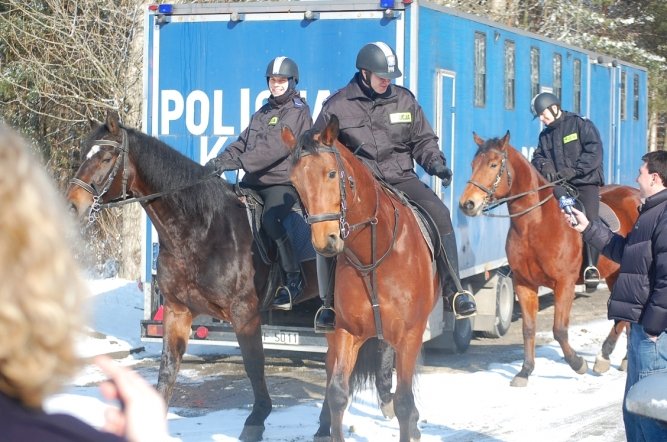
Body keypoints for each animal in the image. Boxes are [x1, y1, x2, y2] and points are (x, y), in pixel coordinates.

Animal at [66, 111, 324, 442]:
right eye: (85, 153)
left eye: (107, 157)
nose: (73, 204)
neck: (201, 228)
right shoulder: (178, 311)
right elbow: (167, 368)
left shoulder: (244, 313)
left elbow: (254, 365)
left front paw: (256, 420)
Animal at [282, 116, 444, 442]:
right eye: (295, 183)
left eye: (332, 173)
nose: (325, 241)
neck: (375, 253)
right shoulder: (346, 331)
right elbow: (337, 393)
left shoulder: (409, 335)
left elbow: (404, 401)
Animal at [456, 132, 640, 386]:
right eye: (473, 165)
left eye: (493, 165)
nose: (467, 204)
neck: (535, 223)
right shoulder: (524, 284)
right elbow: (529, 328)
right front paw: (524, 372)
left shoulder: (564, 284)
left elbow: (559, 330)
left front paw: (578, 364)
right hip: (615, 274)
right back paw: (618, 359)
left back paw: (607, 358)